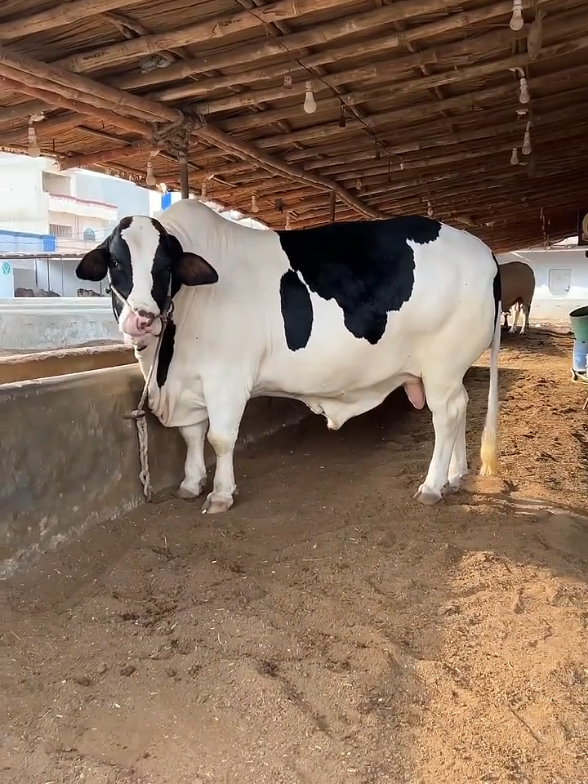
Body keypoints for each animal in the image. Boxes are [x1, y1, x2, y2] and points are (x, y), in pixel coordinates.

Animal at [75, 199, 501, 513]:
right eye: (116, 262)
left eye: (164, 265)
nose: (142, 318)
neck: (166, 362)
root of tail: (484, 251)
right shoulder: (189, 381)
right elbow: (192, 433)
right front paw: (191, 482)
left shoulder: (227, 378)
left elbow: (220, 437)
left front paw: (221, 493)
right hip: (449, 370)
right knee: (461, 407)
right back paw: (455, 476)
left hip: (442, 364)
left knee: (445, 416)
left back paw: (432, 485)